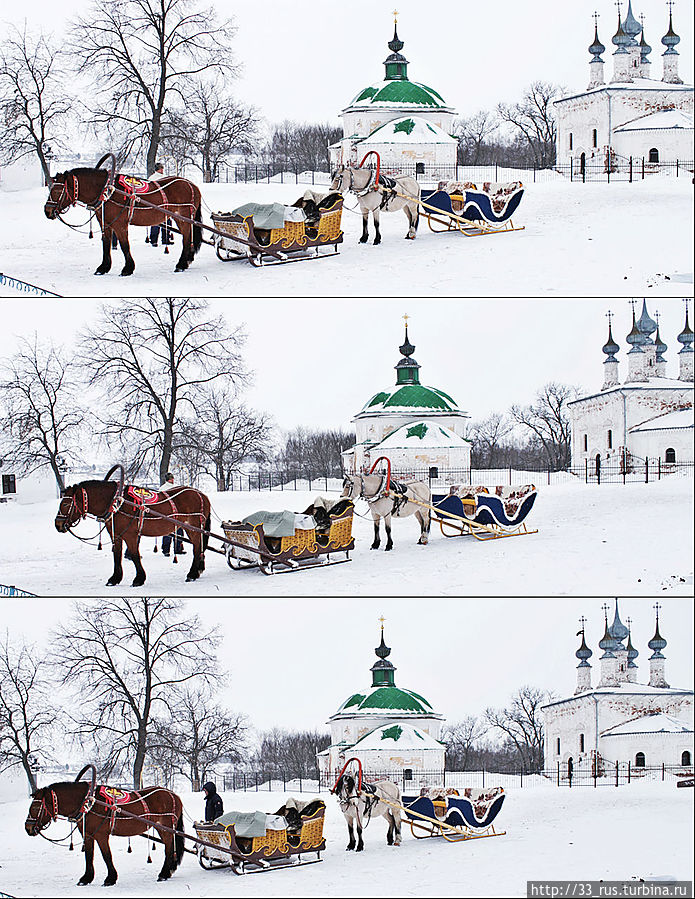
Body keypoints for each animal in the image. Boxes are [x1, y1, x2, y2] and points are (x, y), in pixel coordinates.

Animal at [26, 768, 185, 884]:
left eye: (36, 807)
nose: (28, 828)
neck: (88, 802)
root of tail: (174, 795)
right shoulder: (87, 834)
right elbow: (89, 855)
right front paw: (86, 878)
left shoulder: (101, 835)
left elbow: (106, 855)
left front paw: (110, 878)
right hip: (162, 828)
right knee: (170, 847)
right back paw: (168, 871)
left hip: (165, 827)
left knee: (169, 848)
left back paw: (164, 873)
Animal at [44, 160, 203, 276]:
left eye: (57, 190)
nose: (47, 211)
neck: (106, 191)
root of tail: (192, 185)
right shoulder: (106, 223)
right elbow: (106, 244)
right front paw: (103, 267)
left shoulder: (120, 224)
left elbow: (124, 245)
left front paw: (128, 268)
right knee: (188, 237)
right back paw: (186, 261)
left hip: (183, 217)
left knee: (187, 238)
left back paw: (181, 264)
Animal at [55, 472, 209, 592]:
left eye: (66, 504)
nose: (58, 524)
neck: (116, 502)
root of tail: (202, 495)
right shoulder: (116, 535)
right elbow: (117, 555)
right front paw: (114, 578)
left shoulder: (130, 535)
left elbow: (135, 555)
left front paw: (139, 579)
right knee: (200, 547)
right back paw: (198, 570)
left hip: (193, 527)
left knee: (197, 548)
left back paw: (192, 574)